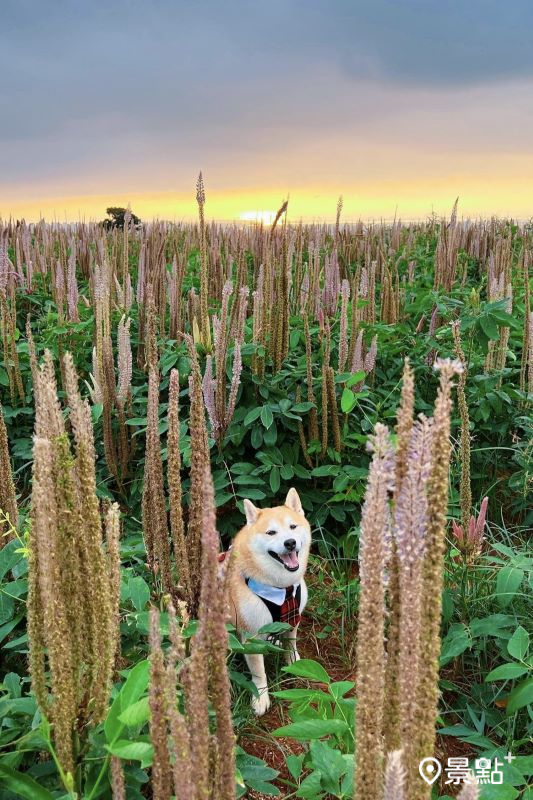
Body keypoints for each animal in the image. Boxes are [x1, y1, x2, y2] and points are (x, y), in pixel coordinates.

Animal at [225, 488, 312, 720]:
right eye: (271, 533)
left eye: (293, 527)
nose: (290, 542)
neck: (280, 587)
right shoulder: (251, 636)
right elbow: (259, 673)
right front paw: (260, 698)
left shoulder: (292, 619)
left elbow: (291, 644)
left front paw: (296, 665)